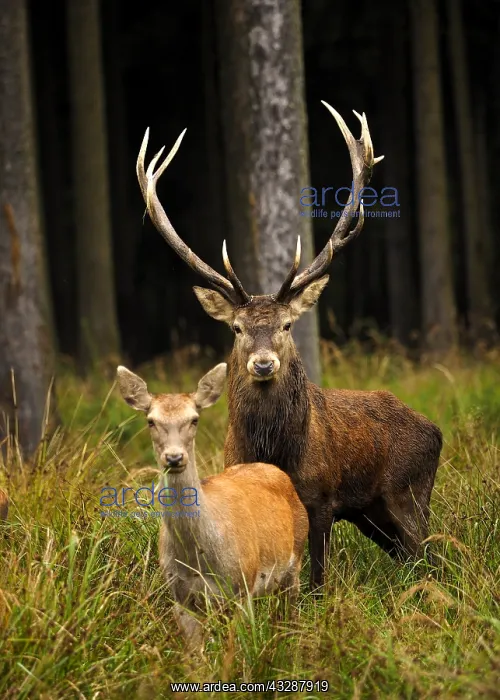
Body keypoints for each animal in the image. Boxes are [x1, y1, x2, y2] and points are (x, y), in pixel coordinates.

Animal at [116, 363, 308, 645]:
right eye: (151, 421)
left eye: (194, 419)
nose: (174, 457)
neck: (198, 558)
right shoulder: (179, 597)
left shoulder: (241, 587)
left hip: (295, 558)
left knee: (290, 614)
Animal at [135, 102, 443, 590]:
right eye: (237, 328)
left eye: (287, 324)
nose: (263, 363)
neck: (272, 449)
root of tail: (436, 430)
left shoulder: (320, 498)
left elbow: (316, 581)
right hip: (374, 516)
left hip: (410, 496)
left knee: (433, 556)